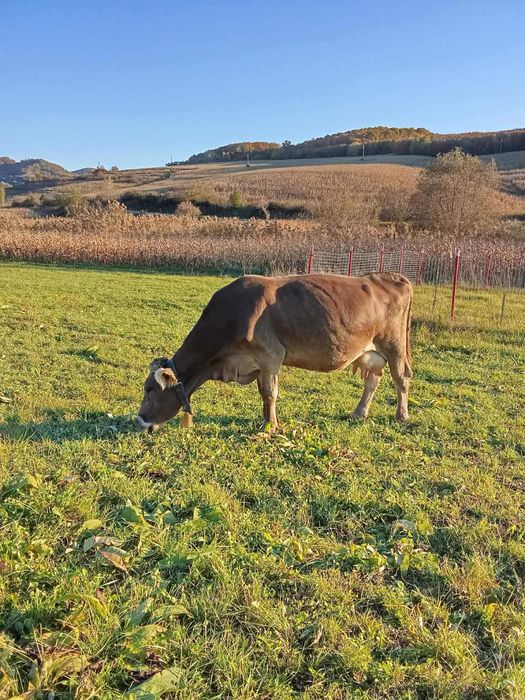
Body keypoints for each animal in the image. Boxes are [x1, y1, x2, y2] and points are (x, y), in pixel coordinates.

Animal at [137, 272, 413, 433]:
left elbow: (270, 393)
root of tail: (391, 276)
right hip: (372, 352)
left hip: (394, 346)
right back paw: (358, 413)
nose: (139, 419)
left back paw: (402, 416)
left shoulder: (270, 355)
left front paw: (269, 425)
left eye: (149, 389)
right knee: (373, 380)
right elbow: (263, 393)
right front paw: (263, 420)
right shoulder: (259, 363)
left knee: (401, 380)